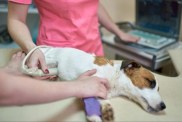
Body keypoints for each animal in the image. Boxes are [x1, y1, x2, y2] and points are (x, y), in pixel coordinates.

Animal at [21, 45, 166, 122]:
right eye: (150, 82)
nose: (164, 106)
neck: (114, 76)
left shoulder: (101, 92)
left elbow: (102, 100)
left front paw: (105, 111)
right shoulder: (91, 81)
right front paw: (94, 116)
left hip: (52, 68)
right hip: (49, 60)